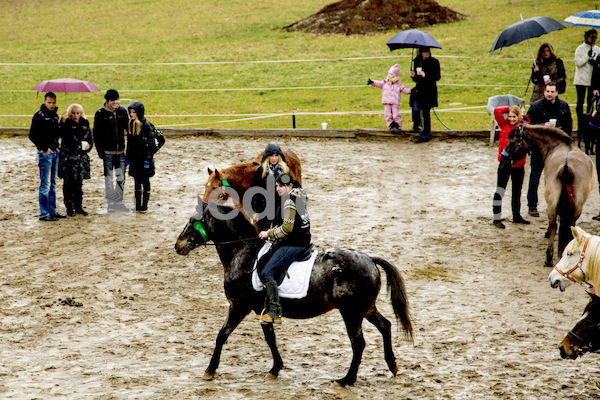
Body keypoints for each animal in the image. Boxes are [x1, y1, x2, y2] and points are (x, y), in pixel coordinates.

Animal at [176, 202, 414, 386]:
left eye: (192, 221)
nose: (178, 245)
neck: (243, 253)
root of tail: (370, 259)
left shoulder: (238, 306)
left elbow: (221, 335)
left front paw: (209, 370)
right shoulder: (261, 310)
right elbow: (269, 338)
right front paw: (275, 368)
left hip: (351, 313)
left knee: (359, 343)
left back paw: (346, 379)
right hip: (366, 308)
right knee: (385, 326)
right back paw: (392, 365)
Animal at [502, 125, 596, 268]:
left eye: (512, 141)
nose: (503, 159)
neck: (560, 144)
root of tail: (566, 164)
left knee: (558, 224)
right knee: (558, 224)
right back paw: (550, 257)